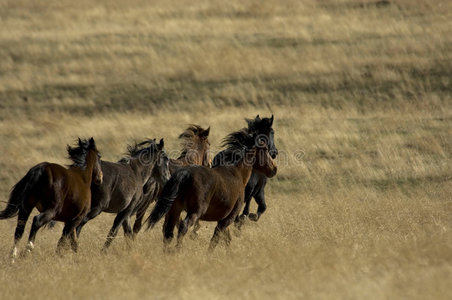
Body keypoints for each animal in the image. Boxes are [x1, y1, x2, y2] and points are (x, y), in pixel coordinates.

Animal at [147, 131, 278, 251]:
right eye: (265, 149)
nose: (274, 169)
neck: (238, 173)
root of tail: (186, 173)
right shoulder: (228, 218)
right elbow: (216, 239)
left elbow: (226, 239)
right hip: (194, 211)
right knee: (183, 227)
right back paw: (177, 250)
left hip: (174, 209)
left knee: (168, 232)